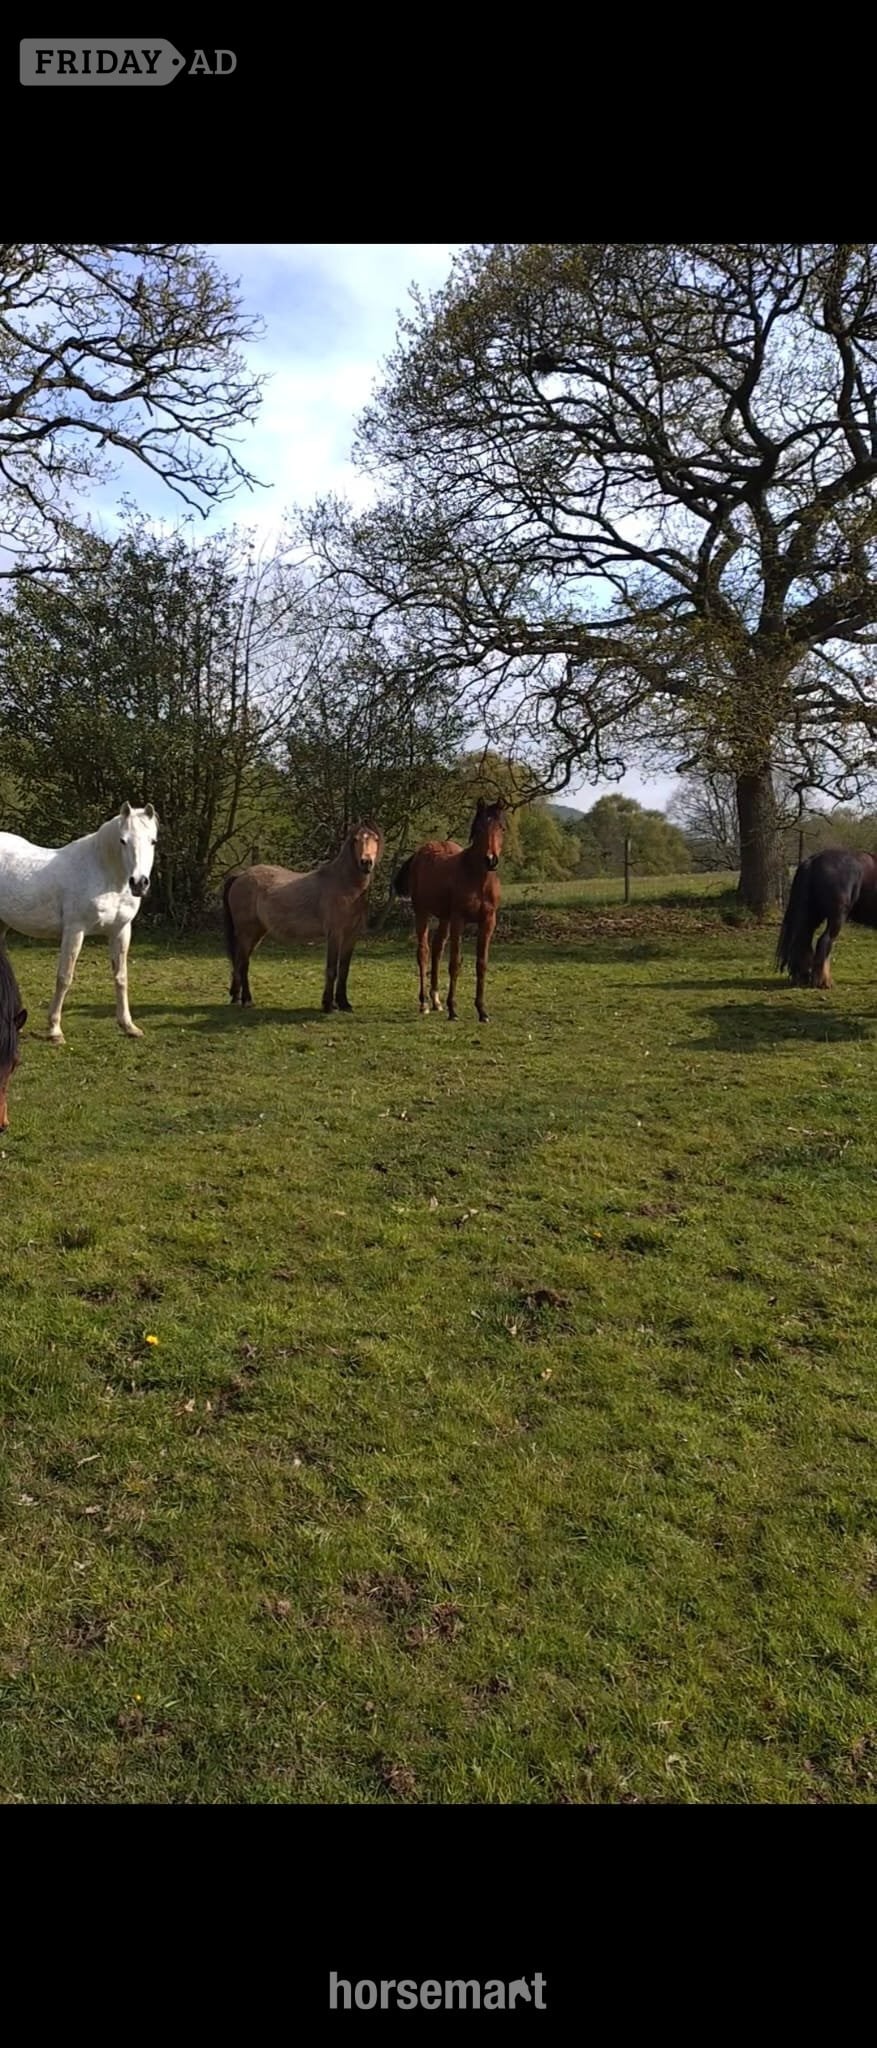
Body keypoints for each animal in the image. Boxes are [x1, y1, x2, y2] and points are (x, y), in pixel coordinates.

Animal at [0, 803, 158, 1045]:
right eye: (123, 840)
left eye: (153, 841)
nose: (139, 883)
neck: (103, 873)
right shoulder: (75, 931)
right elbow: (64, 978)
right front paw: (55, 1030)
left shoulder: (120, 931)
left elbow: (121, 977)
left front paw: (128, 1026)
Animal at [222, 823, 384, 1012]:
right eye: (356, 839)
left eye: (376, 839)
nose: (366, 862)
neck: (345, 885)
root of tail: (240, 876)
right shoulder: (335, 934)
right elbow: (332, 969)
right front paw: (328, 1005)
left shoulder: (351, 935)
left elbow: (344, 969)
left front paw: (344, 1004)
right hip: (246, 932)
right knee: (243, 964)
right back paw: (247, 1000)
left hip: (256, 933)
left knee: (239, 961)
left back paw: (236, 996)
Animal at [392, 798, 505, 1022]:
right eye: (479, 828)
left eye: (500, 827)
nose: (491, 860)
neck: (478, 880)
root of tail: (420, 852)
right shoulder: (459, 920)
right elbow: (454, 963)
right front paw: (453, 1010)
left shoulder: (488, 921)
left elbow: (481, 964)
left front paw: (482, 1011)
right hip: (422, 912)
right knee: (424, 952)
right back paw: (424, 1003)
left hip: (444, 918)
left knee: (437, 949)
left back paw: (436, 1000)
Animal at [776, 847, 877, 988]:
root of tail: (813, 860)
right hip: (837, 916)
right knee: (824, 941)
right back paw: (824, 981)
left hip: (813, 916)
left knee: (804, 941)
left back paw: (803, 977)